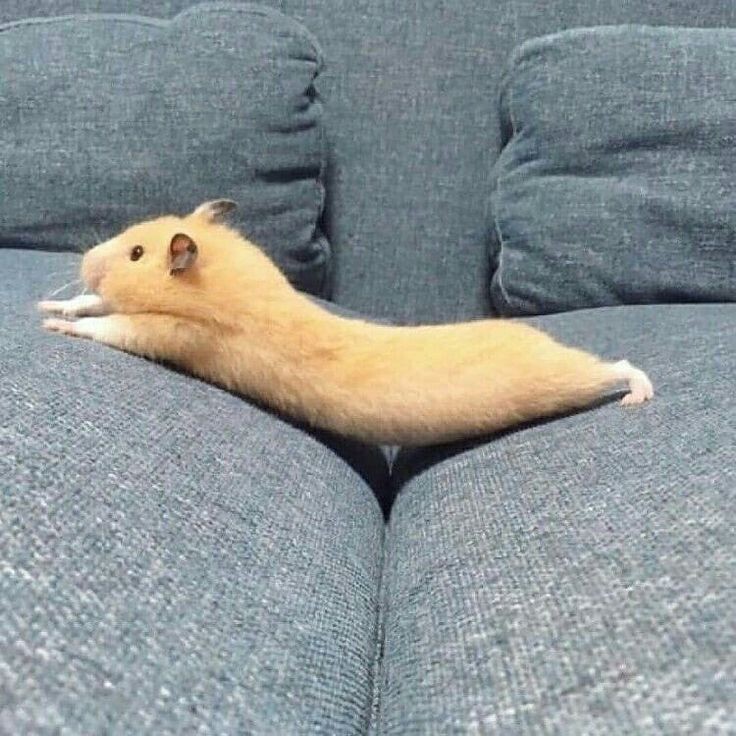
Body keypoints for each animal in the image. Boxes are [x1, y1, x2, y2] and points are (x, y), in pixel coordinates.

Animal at [38, 200, 653, 446]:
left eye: (136, 253)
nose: (85, 261)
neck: (225, 276)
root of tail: (545, 341)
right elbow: (96, 307)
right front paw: (51, 307)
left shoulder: (180, 335)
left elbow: (115, 328)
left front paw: (58, 326)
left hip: (562, 380)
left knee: (615, 366)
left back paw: (637, 395)